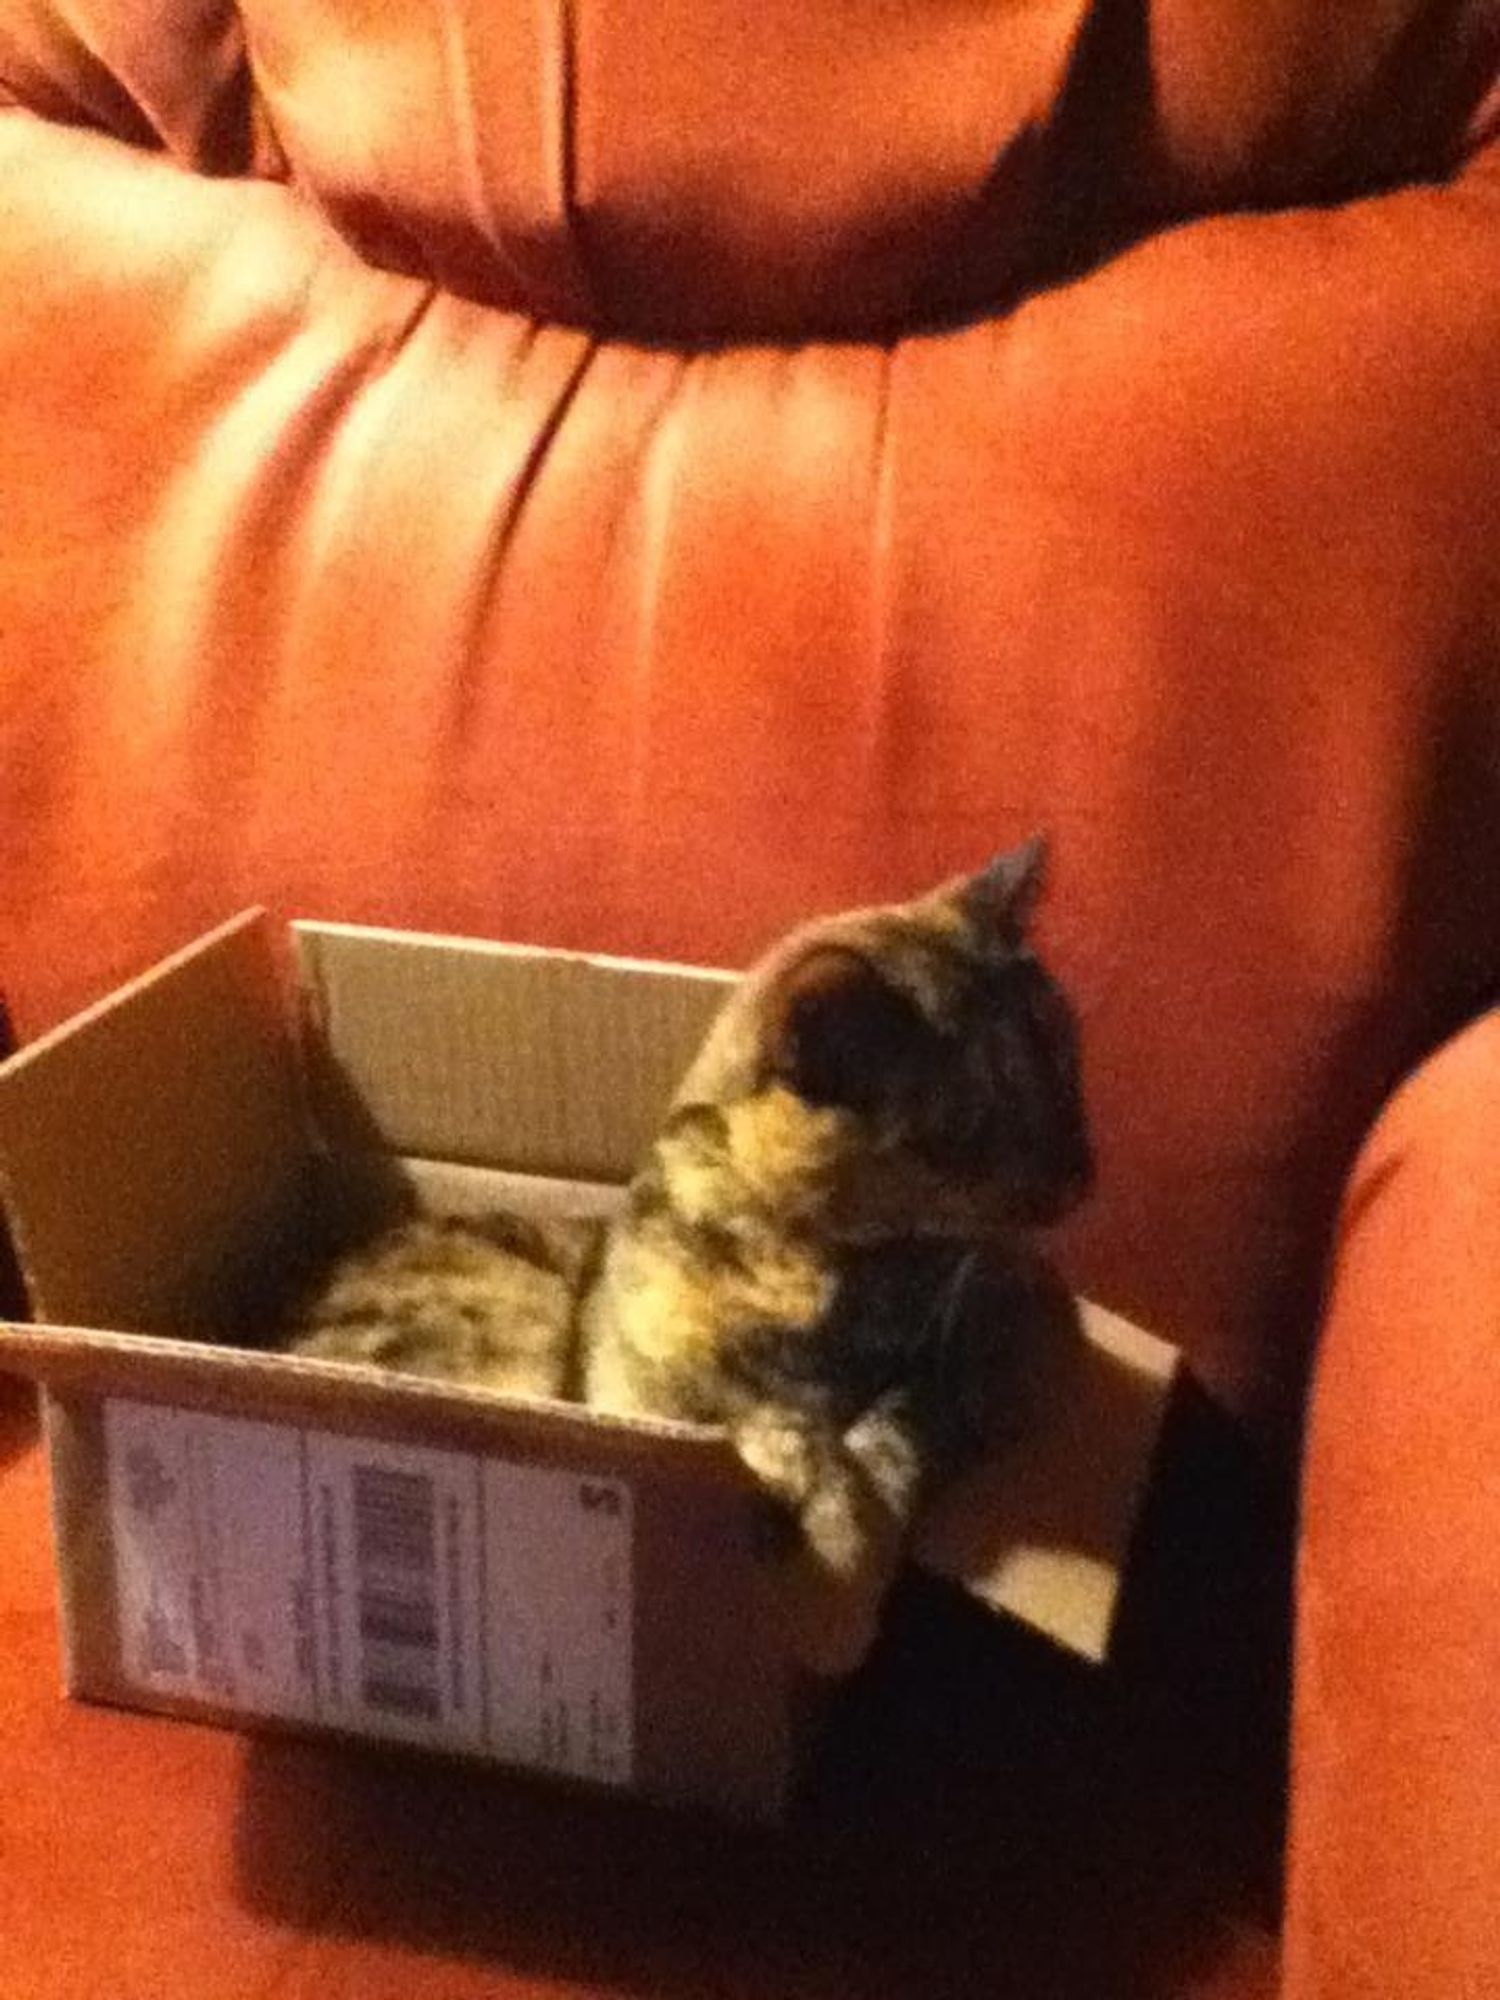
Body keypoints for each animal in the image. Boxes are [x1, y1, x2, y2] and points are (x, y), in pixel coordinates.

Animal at [280, 836, 1096, 1680]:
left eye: (1068, 1063)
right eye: (970, 1130)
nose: (1083, 1172)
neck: (822, 1273)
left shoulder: (994, 1350)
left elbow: (889, 1433)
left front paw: (838, 1594)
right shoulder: (644, 1396)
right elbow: (785, 1429)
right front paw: (831, 1589)